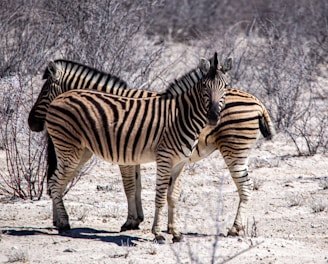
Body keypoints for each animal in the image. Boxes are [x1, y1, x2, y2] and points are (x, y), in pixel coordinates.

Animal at [28, 56, 274, 236]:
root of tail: (257, 101)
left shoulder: (125, 153)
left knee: (245, 186)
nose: (31, 123)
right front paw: (137, 220)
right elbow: (137, 186)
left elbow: (130, 187)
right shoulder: (132, 152)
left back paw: (235, 228)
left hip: (235, 149)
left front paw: (132, 221)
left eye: (44, 91)